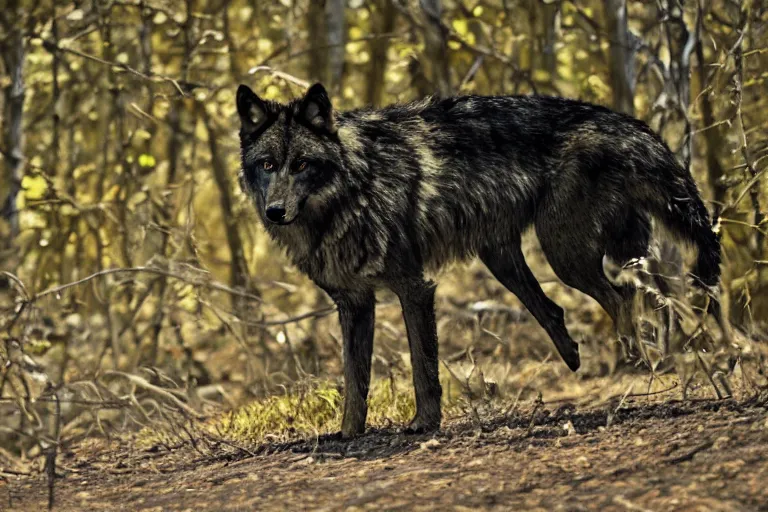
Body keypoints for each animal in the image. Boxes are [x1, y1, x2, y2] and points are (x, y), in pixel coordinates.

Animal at [234, 82, 720, 438]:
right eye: (268, 165)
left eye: (301, 164)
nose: (274, 212)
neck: (352, 189)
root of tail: (621, 120)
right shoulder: (355, 304)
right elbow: (355, 380)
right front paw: (348, 434)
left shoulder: (415, 288)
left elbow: (423, 367)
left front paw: (424, 423)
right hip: (515, 257)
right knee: (618, 300)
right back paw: (627, 353)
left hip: (564, 254)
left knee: (623, 296)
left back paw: (637, 357)